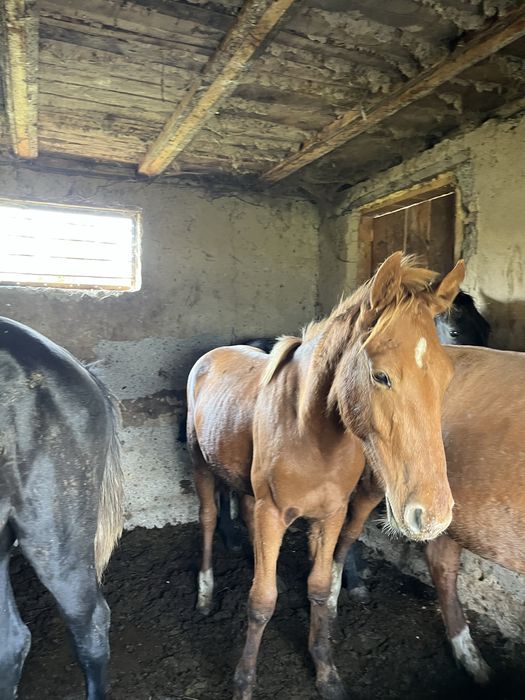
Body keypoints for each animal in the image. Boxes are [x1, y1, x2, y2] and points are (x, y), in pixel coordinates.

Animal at [186, 252, 464, 700]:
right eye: (381, 375)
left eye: (446, 377)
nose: (433, 515)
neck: (310, 436)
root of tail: (212, 355)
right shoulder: (273, 513)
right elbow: (261, 601)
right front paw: (244, 681)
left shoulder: (331, 514)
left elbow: (318, 588)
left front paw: (325, 670)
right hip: (200, 465)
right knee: (209, 519)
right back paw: (206, 594)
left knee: (242, 510)